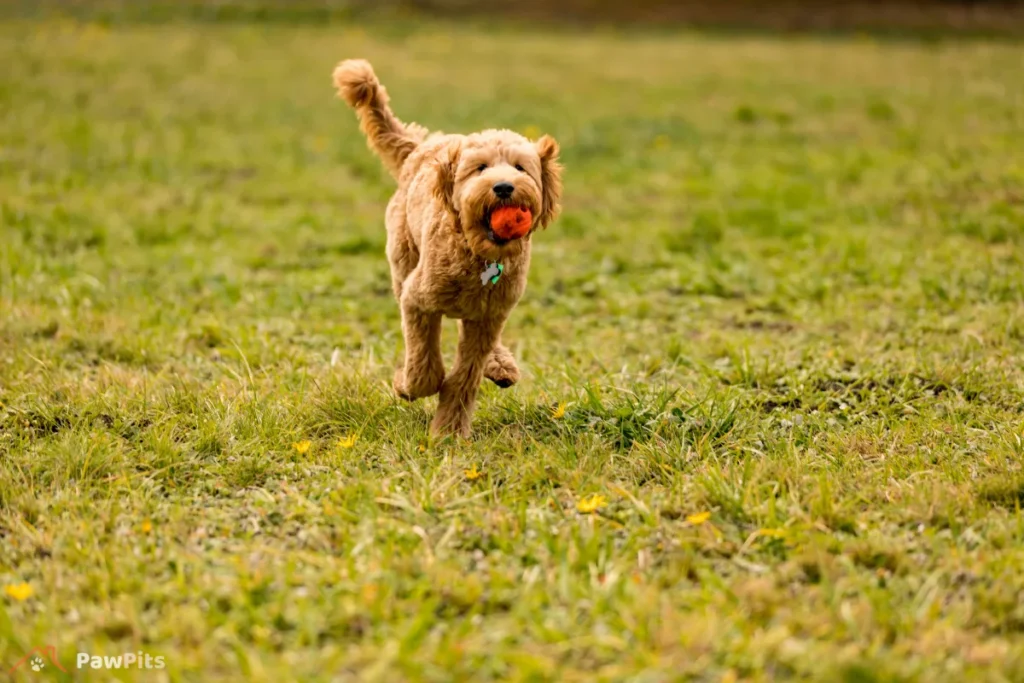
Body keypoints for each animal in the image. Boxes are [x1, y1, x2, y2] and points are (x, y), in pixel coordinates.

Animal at [331, 61, 565, 440]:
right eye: (480, 168)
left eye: (520, 167)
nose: (503, 187)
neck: (479, 256)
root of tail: (422, 145)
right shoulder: (417, 299)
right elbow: (424, 362)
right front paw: (407, 385)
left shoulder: (487, 318)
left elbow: (465, 377)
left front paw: (450, 432)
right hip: (403, 262)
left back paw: (500, 365)